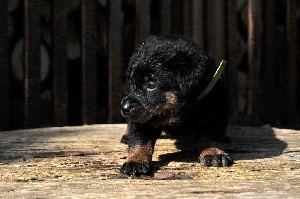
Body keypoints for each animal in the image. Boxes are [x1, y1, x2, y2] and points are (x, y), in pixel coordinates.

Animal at [119, 35, 232, 176]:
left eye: (152, 84)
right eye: (133, 83)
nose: (124, 107)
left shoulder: (217, 112)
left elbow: (211, 135)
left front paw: (213, 152)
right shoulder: (141, 119)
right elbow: (139, 140)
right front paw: (136, 160)